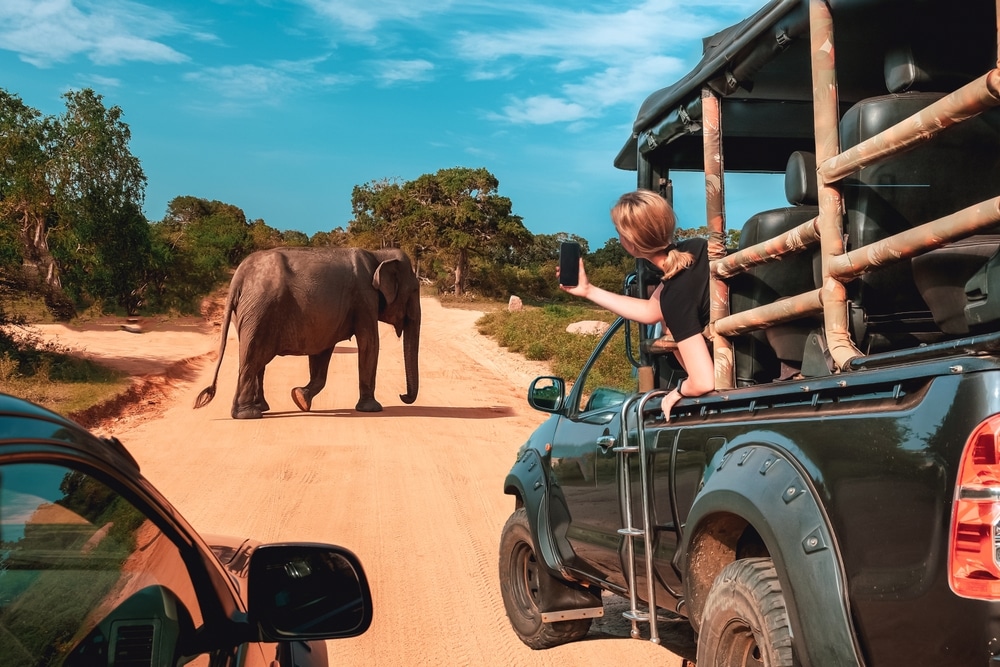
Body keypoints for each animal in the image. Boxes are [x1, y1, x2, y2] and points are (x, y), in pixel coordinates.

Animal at [195, 248, 418, 420]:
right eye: (415, 291)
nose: (402, 395)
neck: (379, 255)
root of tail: (239, 276)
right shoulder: (364, 298)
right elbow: (369, 343)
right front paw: (372, 409)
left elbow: (323, 351)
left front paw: (300, 398)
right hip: (260, 311)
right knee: (253, 357)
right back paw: (248, 415)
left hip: (249, 313)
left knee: (257, 361)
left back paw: (261, 408)